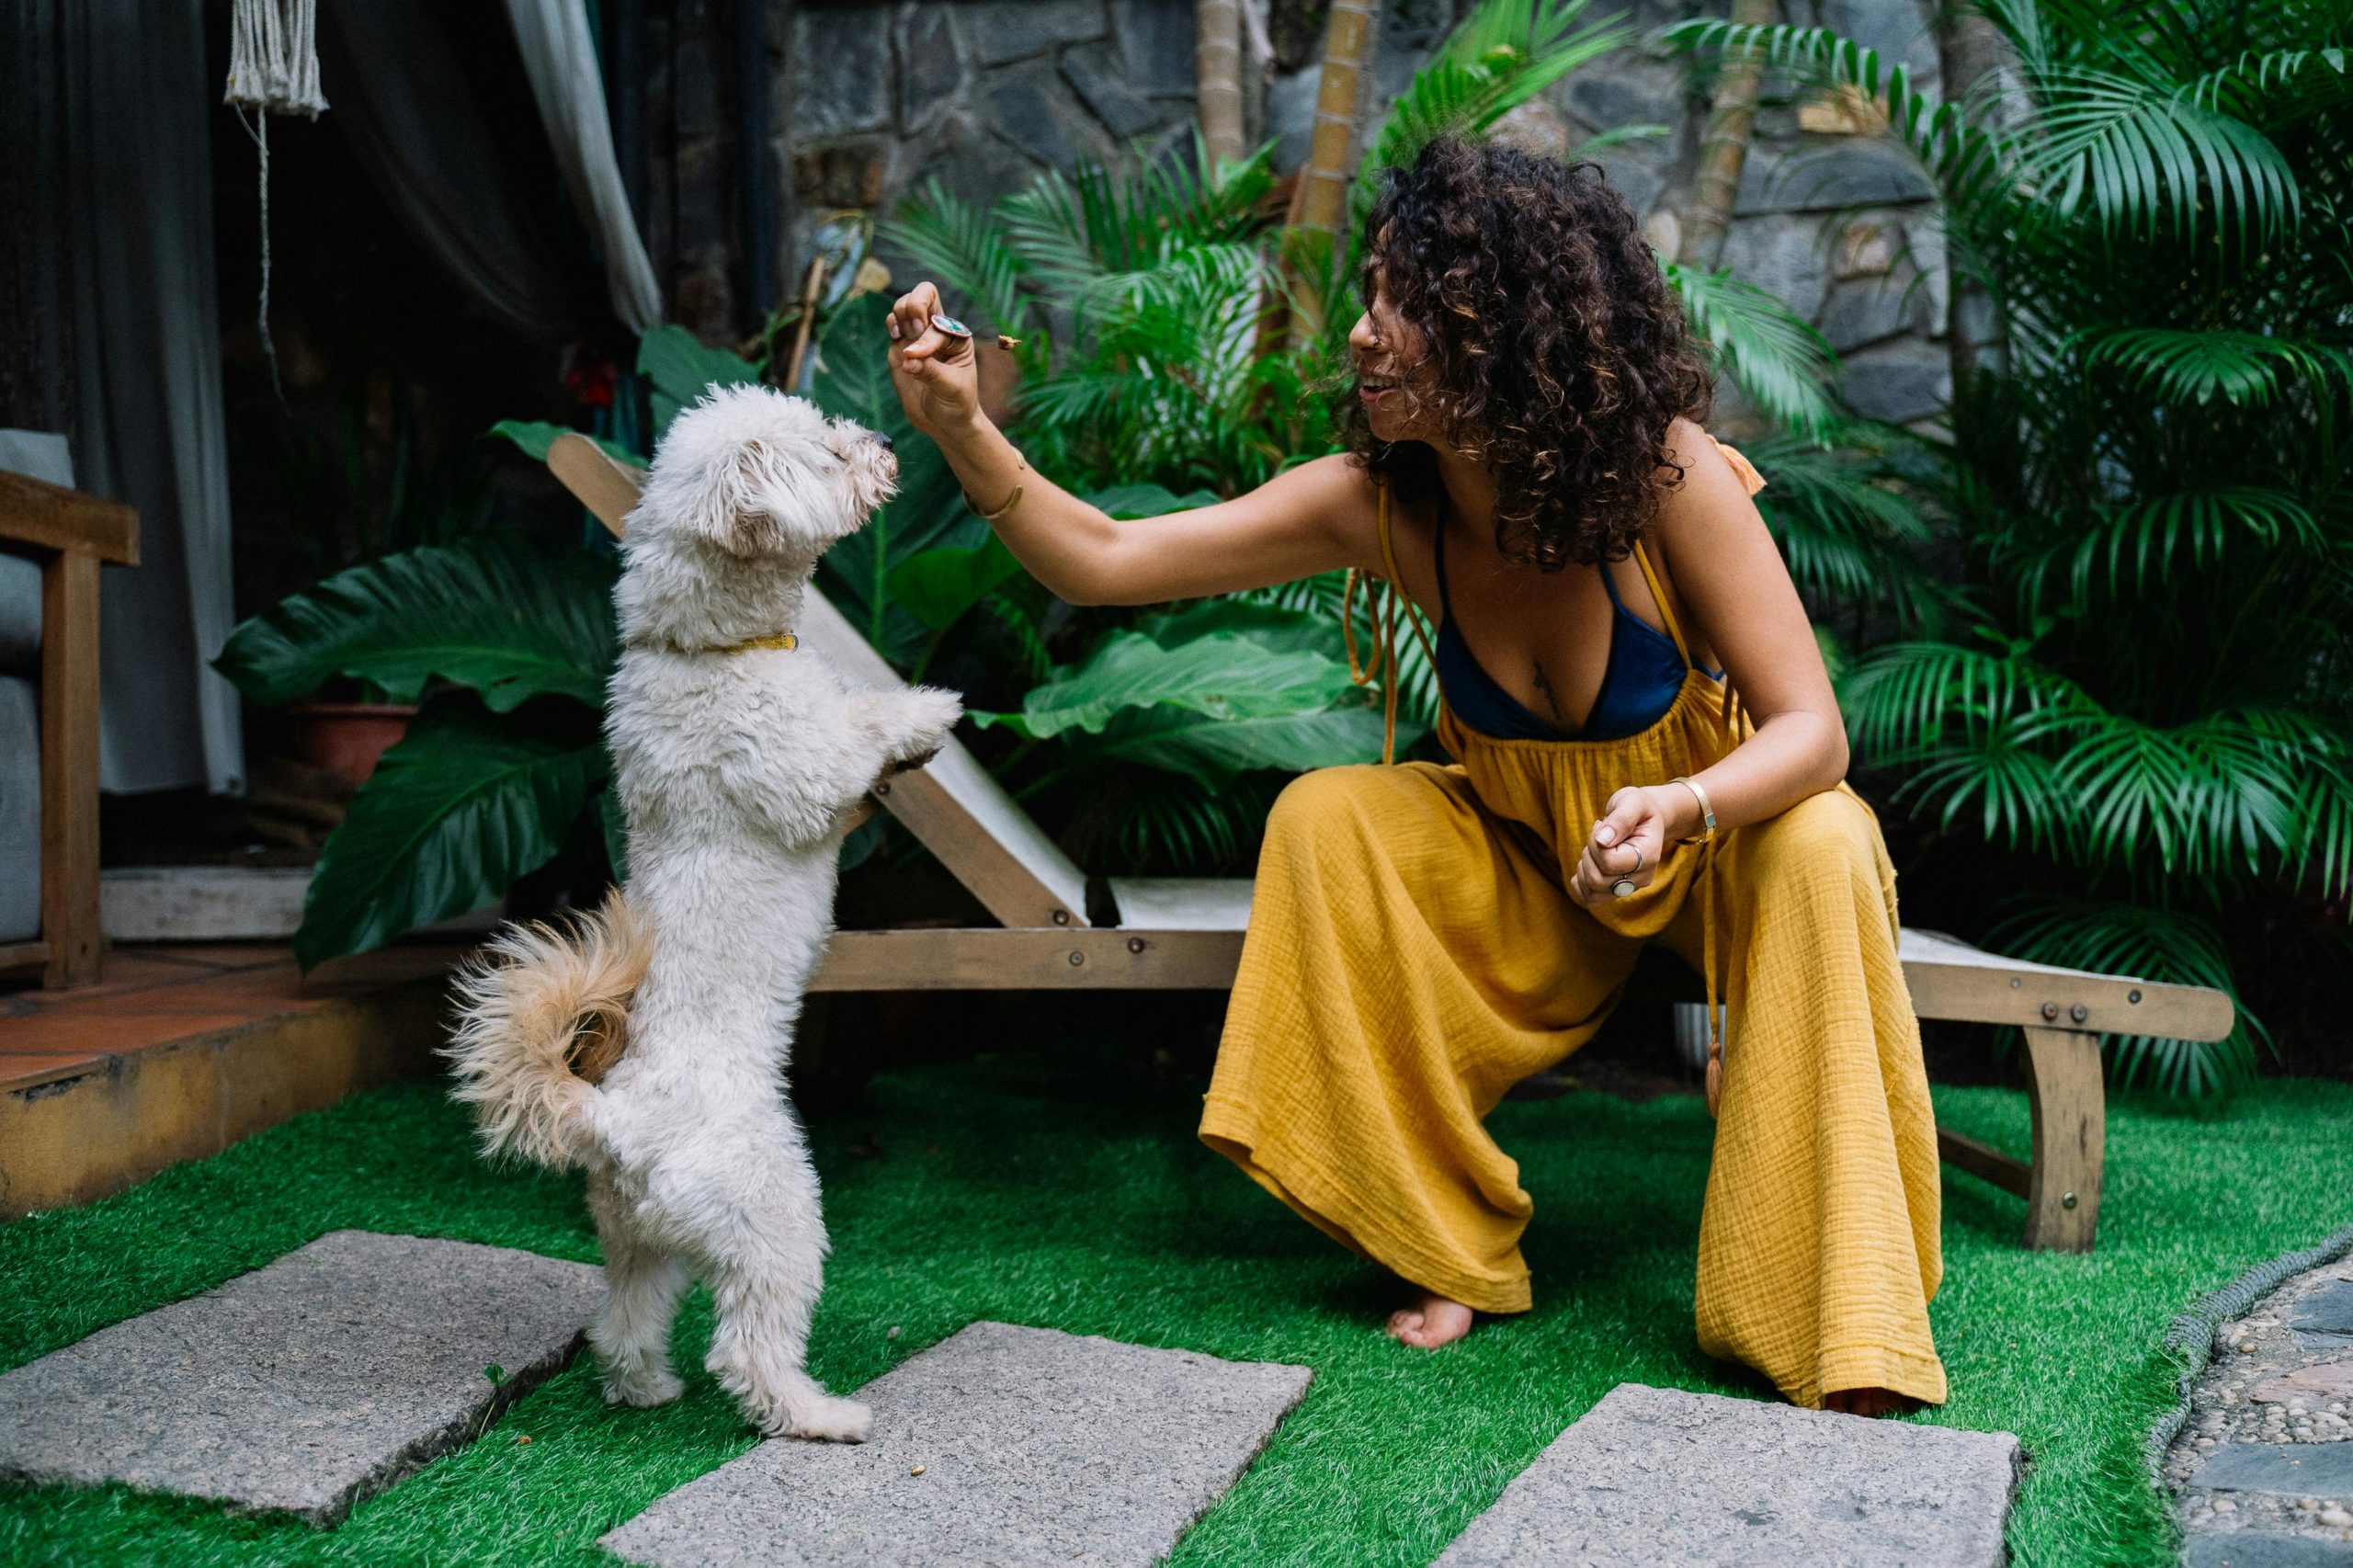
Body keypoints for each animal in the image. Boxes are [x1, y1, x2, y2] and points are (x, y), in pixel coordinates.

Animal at [438, 383, 960, 1431]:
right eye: (827, 452)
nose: (884, 438)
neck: (708, 651)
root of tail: (610, 1118)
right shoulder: (801, 773)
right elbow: (857, 733)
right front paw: (926, 715)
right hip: (774, 1211)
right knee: (748, 1346)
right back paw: (818, 1415)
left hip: (640, 1238)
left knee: (623, 1323)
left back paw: (646, 1388)